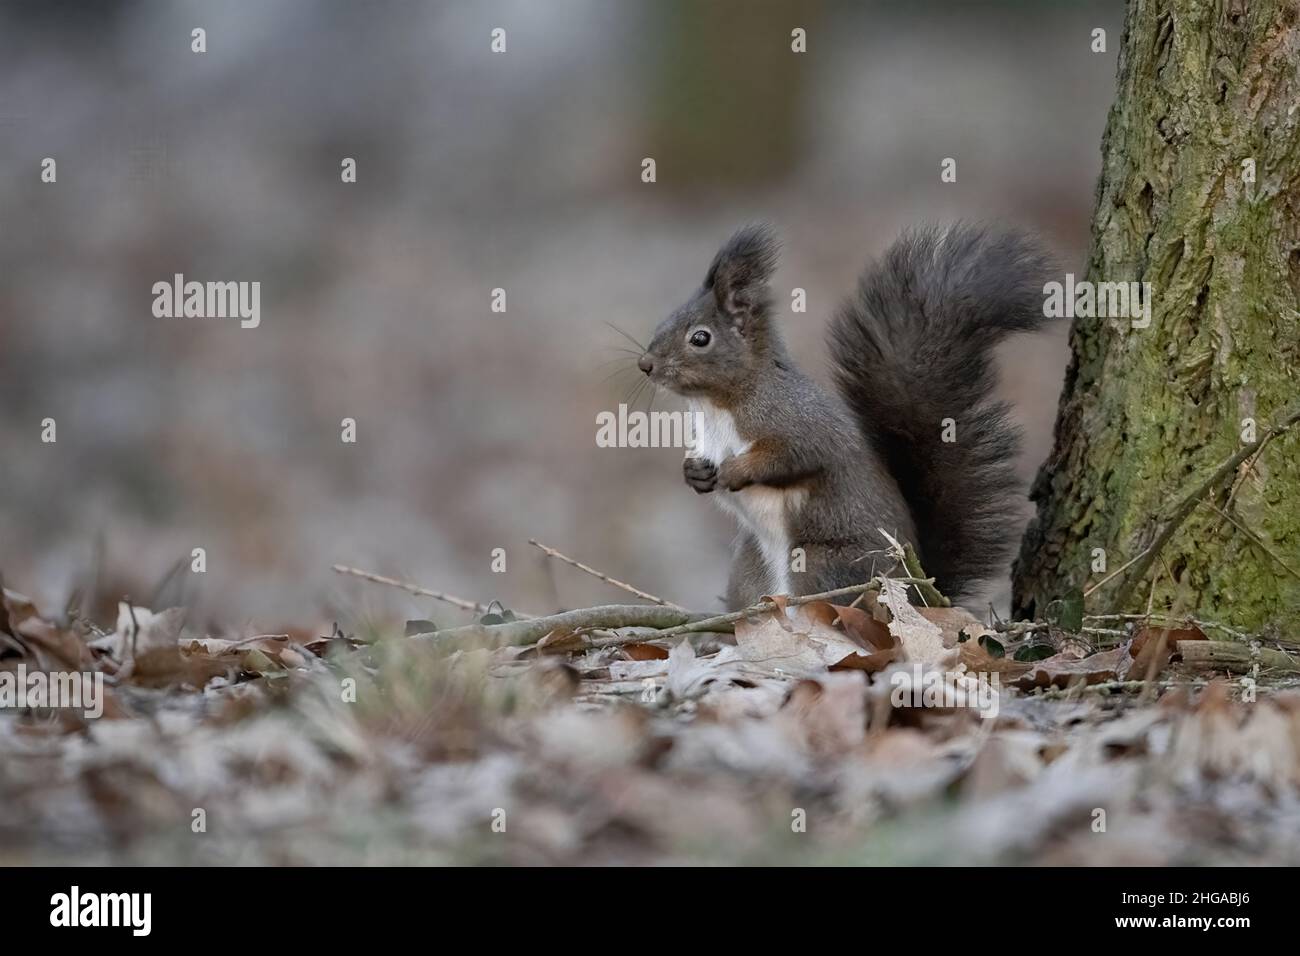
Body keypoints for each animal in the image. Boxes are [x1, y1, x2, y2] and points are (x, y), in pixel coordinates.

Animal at [637, 222, 1055, 610]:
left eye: (700, 338)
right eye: (664, 322)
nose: (645, 364)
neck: (715, 406)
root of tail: (919, 593)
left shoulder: (798, 420)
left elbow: (795, 456)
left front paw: (736, 471)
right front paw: (695, 473)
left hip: (821, 564)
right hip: (750, 568)